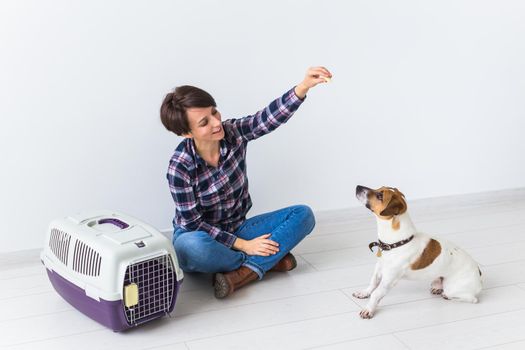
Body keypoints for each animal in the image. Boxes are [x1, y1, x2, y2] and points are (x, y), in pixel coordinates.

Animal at [350, 186, 482, 320]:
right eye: (379, 188)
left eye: (380, 196)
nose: (358, 186)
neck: (396, 242)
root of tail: (479, 273)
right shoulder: (379, 267)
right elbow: (372, 282)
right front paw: (364, 293)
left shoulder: (389, 279)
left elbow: (376, 293)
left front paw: (368, 309)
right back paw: (437, 289)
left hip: (453, 288)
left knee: (472, 299)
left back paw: (447, 295)